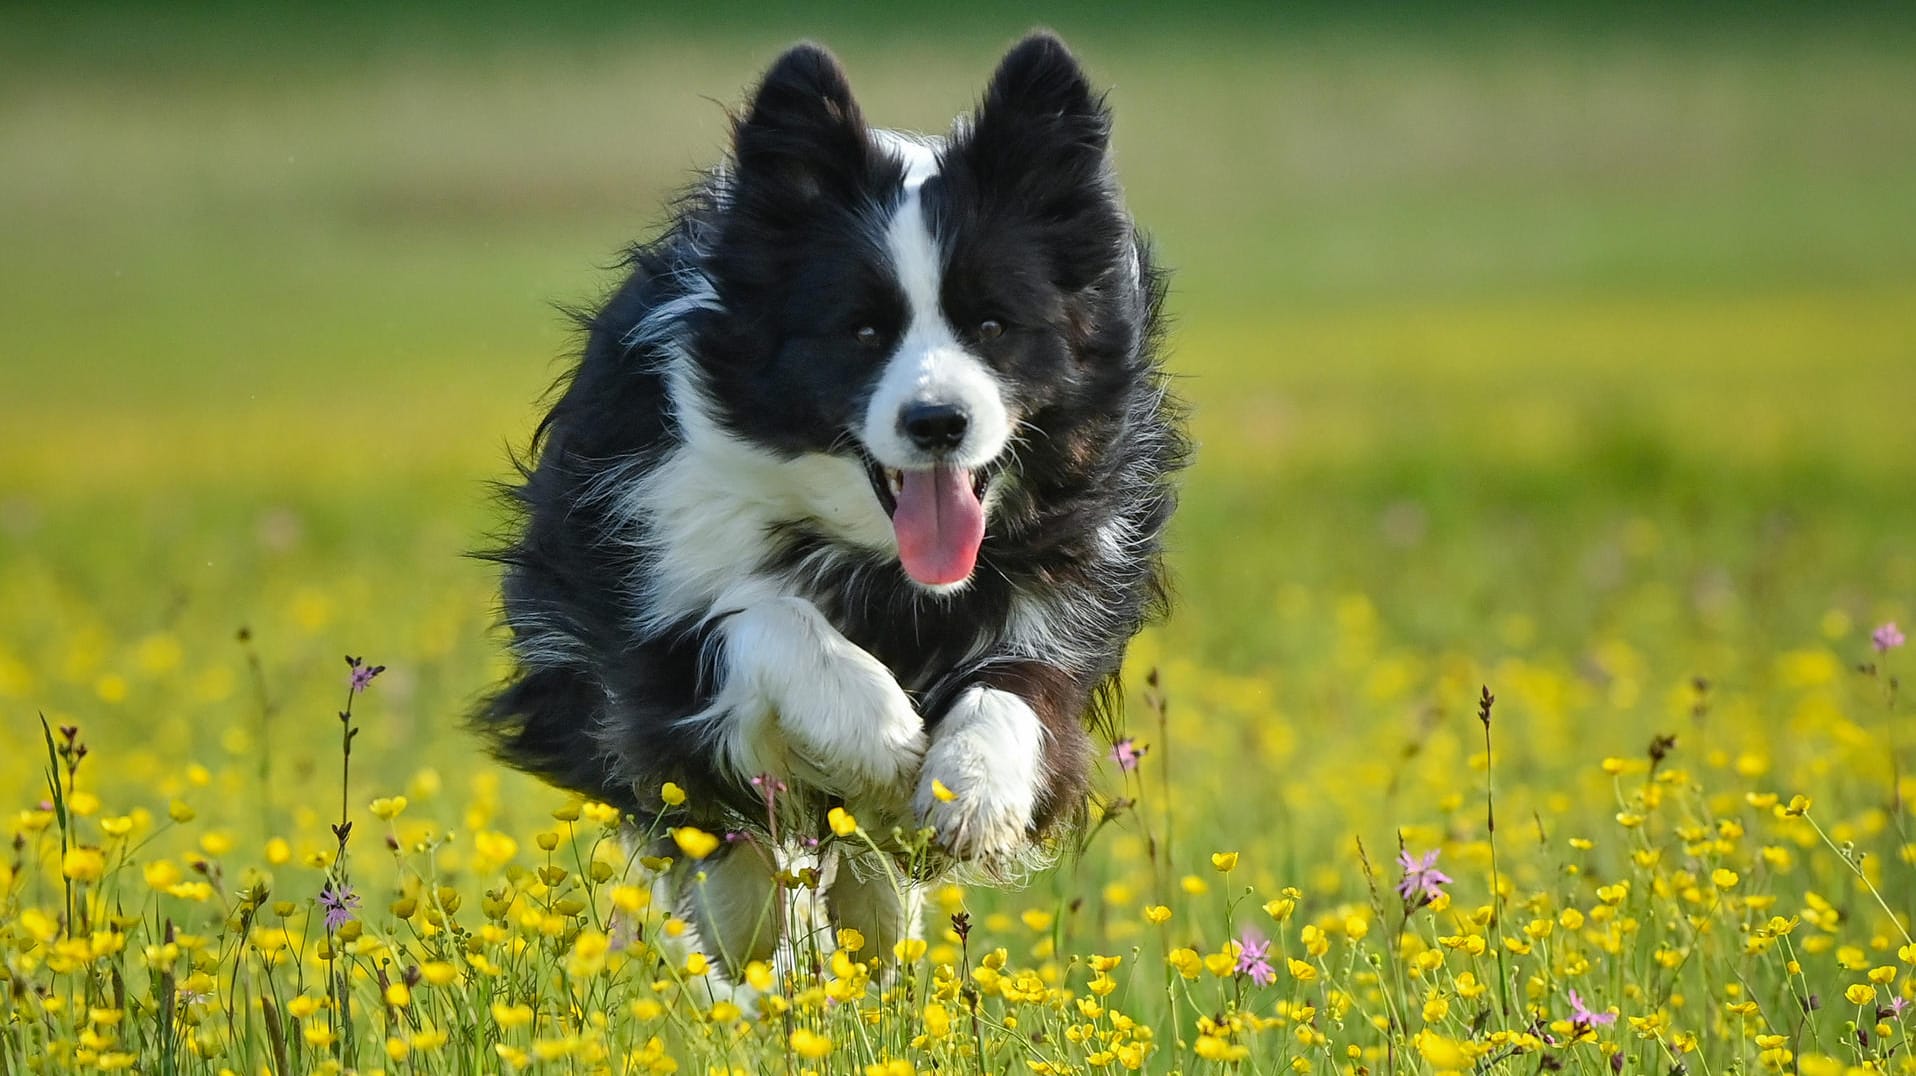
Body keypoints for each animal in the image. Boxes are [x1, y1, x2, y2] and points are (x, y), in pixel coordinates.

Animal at [479, 31, 1180, 972]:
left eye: (994, 325)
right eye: (863, 330)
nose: (937, 422)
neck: (882, 561)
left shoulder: (1063, 575)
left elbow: (1024, 684)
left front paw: (970, 788)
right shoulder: (652, 566)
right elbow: (759, 622)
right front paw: (881, 741)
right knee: (720, 841)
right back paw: (750, 924)